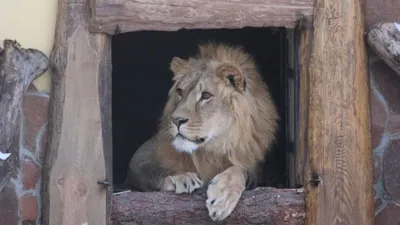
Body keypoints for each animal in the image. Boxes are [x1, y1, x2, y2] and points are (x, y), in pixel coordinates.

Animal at [124, 42, 278, 221]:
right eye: (180, 92)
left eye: (205, 95)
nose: (176, 120)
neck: (210, 149)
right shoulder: (141, 156)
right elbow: (153, 171)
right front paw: (181, 178)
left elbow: (240, 170)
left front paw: (223, 197)